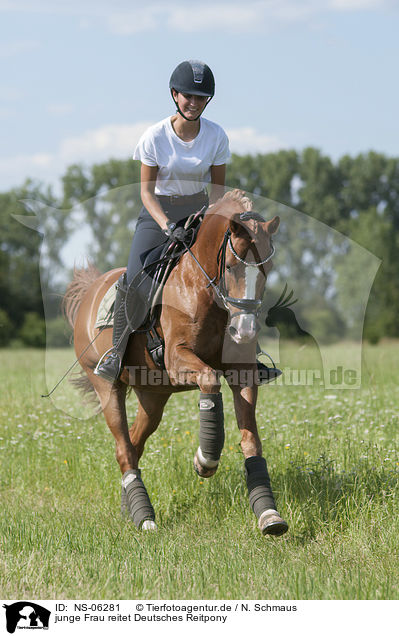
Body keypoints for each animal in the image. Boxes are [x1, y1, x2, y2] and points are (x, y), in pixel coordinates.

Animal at [62, 190, 290, 536]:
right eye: (232, 266)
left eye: (269, 267)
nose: (245, 331)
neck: (202, 288)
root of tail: (91, 289)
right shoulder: (177, 358)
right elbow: (209, 379)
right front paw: (205, 459)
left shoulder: (243, 372)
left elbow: (251, 440)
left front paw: (269, 514)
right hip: (107, 386)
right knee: (123, 447)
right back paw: (144, 517)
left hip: (153, 395)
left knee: (134, 444)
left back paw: (129, 507)